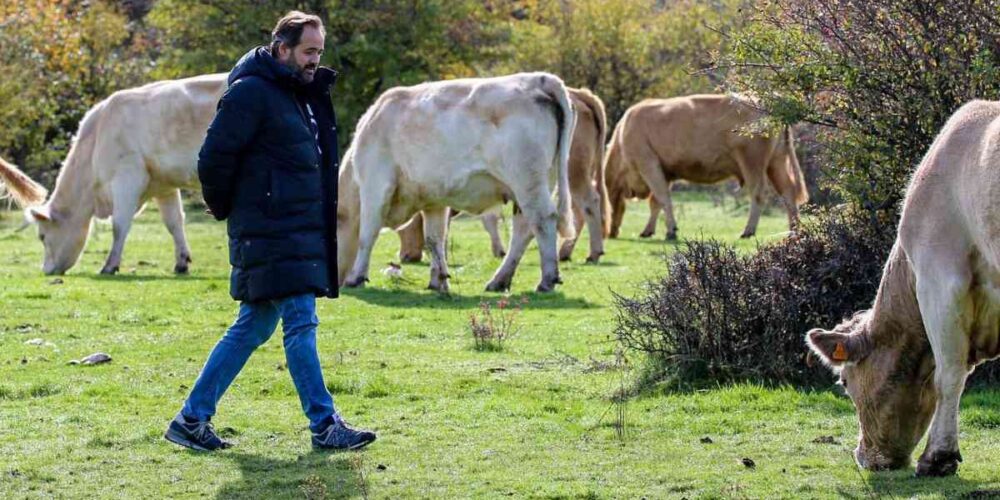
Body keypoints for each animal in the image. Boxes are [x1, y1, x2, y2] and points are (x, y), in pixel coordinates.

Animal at [9, 73, 229, 276]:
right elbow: (174, 222)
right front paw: (181, 263)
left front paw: (110, 266)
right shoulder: (163, 186)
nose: (45, 270)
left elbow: (119, 225)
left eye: (42, 236)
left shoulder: (127, 178)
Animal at [336, 72, 576, 292]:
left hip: (527, 180)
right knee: (524, 228)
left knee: (542, 219)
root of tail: (540, 79)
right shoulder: (433, 200)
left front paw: (356, 278)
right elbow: (434, 239)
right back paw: (499, 280)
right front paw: (438, 280)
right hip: (538, 182)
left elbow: (368, 232)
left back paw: (546, 280)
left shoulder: (375, 185)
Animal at [392, 87, 608, 264]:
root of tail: (581, 94)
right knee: (577, 211)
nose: (404, 256)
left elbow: (487, 219)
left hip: (573, 172)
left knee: (589, 203)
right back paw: (566, 251)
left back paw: (592, 253)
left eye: (403, 228)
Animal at [600, 96, 804, 242]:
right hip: (776, 162)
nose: (610, 233)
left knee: (759, 193)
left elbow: (663, 198)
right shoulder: (665, 172)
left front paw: (671, 231)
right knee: (788, 191)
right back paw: (794, 230)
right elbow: (656, 202)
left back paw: (748, 231)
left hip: (752, 162)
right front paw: (649, 230)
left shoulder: (648, 164)